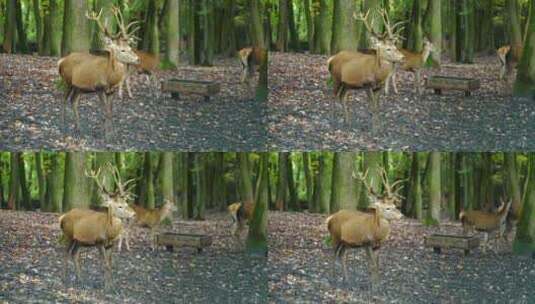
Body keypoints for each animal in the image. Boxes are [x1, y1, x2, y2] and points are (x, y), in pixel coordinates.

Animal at [58, 8, 140, 139]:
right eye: (122, 50)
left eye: (130, 48)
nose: (138, 59)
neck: (109, 77)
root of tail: (61, 62)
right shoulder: (99, 88)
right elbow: (105, 110)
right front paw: (106, 135)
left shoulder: (111, 91)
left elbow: (110, 111)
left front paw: (113, 133)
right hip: (67, 80)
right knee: (64, 99)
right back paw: (63, 125)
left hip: (79, 87)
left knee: (73, 101)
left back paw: (79, 128)